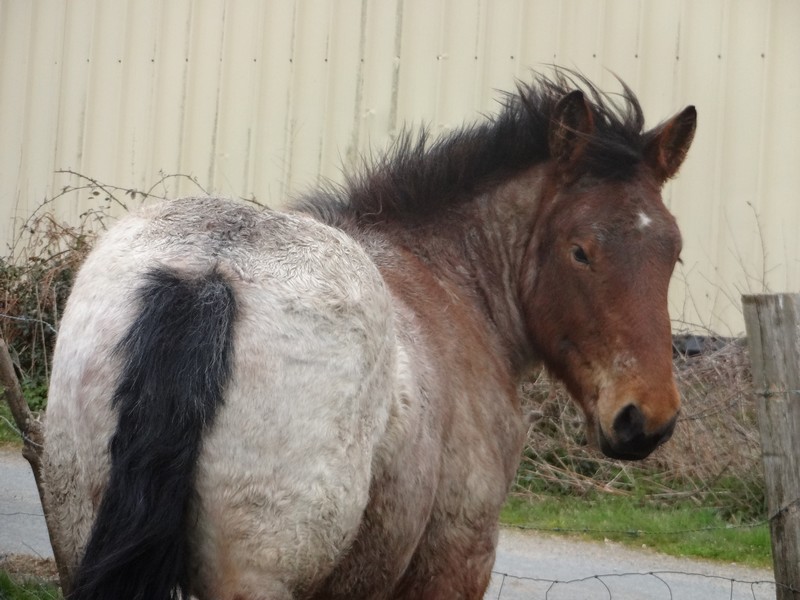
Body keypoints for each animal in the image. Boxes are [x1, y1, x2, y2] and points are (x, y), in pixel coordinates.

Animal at [42, 71, 692, 600]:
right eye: (580, 251)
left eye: (673, 252)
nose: (646, 418)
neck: (448, 277)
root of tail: (211, 271)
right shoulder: (456, 562)